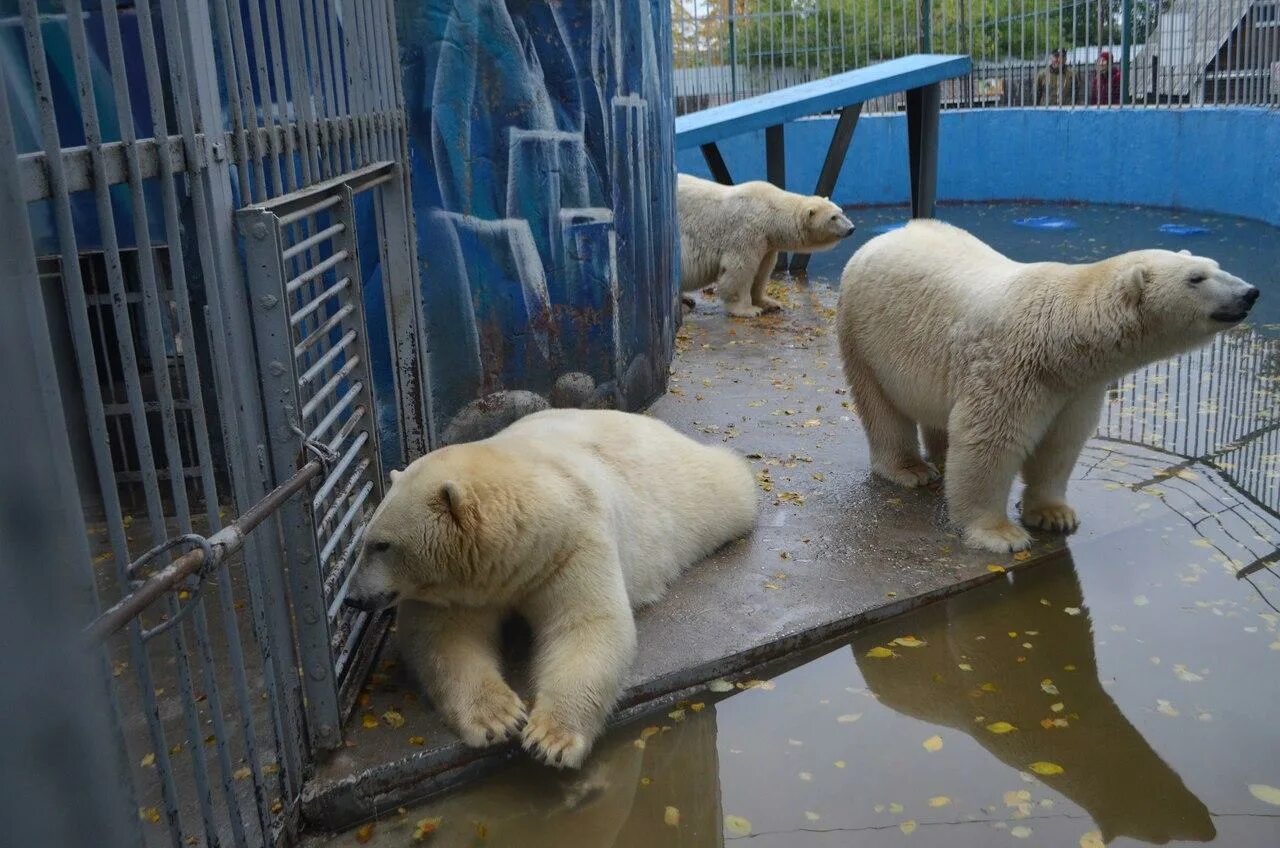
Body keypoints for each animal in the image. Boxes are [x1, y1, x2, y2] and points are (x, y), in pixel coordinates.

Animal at [345, 409, 752, 768]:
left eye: (381, 545)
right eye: (364, 541)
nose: (352, 598)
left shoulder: (568, 545)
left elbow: (586, 625)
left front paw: (550, 739)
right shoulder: (458, 587)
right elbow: (445, 638)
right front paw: (499, 719)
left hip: (684, 489)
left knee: (726, 484)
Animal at [675, 174, 855, 318]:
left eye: (841, 211)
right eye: (833, 218)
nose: (851, 228)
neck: (769, 210)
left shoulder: (767, 242)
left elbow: (762, 269)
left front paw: (769, 303)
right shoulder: (746, 232)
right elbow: (740, 269)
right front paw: (748, 310)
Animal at [829, 219, 1259, 555]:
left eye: (1215, 265)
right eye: (1195, 278)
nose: (1250, 293)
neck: (1062, 336)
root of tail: (883, 237)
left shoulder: (1076, 388)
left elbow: (1060, 444)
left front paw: (1054, 514)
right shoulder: (1009, 369)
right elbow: (990, 443)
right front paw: (1000, 534)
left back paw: (942, 456)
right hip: (865, 334)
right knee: (882, 406)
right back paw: (911, 469)